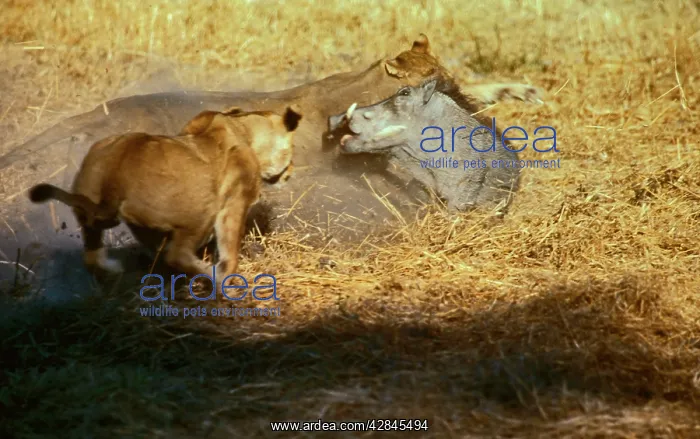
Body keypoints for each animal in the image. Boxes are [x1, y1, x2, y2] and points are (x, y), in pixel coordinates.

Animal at [27, 106, 302, 280]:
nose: (291, 171)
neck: (241, 125)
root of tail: (117, 174)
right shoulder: (235, 200)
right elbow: (230, 247)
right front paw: (229, 276)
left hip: (94, 211)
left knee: (92, 256)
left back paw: (114, 270)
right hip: (200, 210)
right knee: (177, 254)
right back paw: (213, 278)